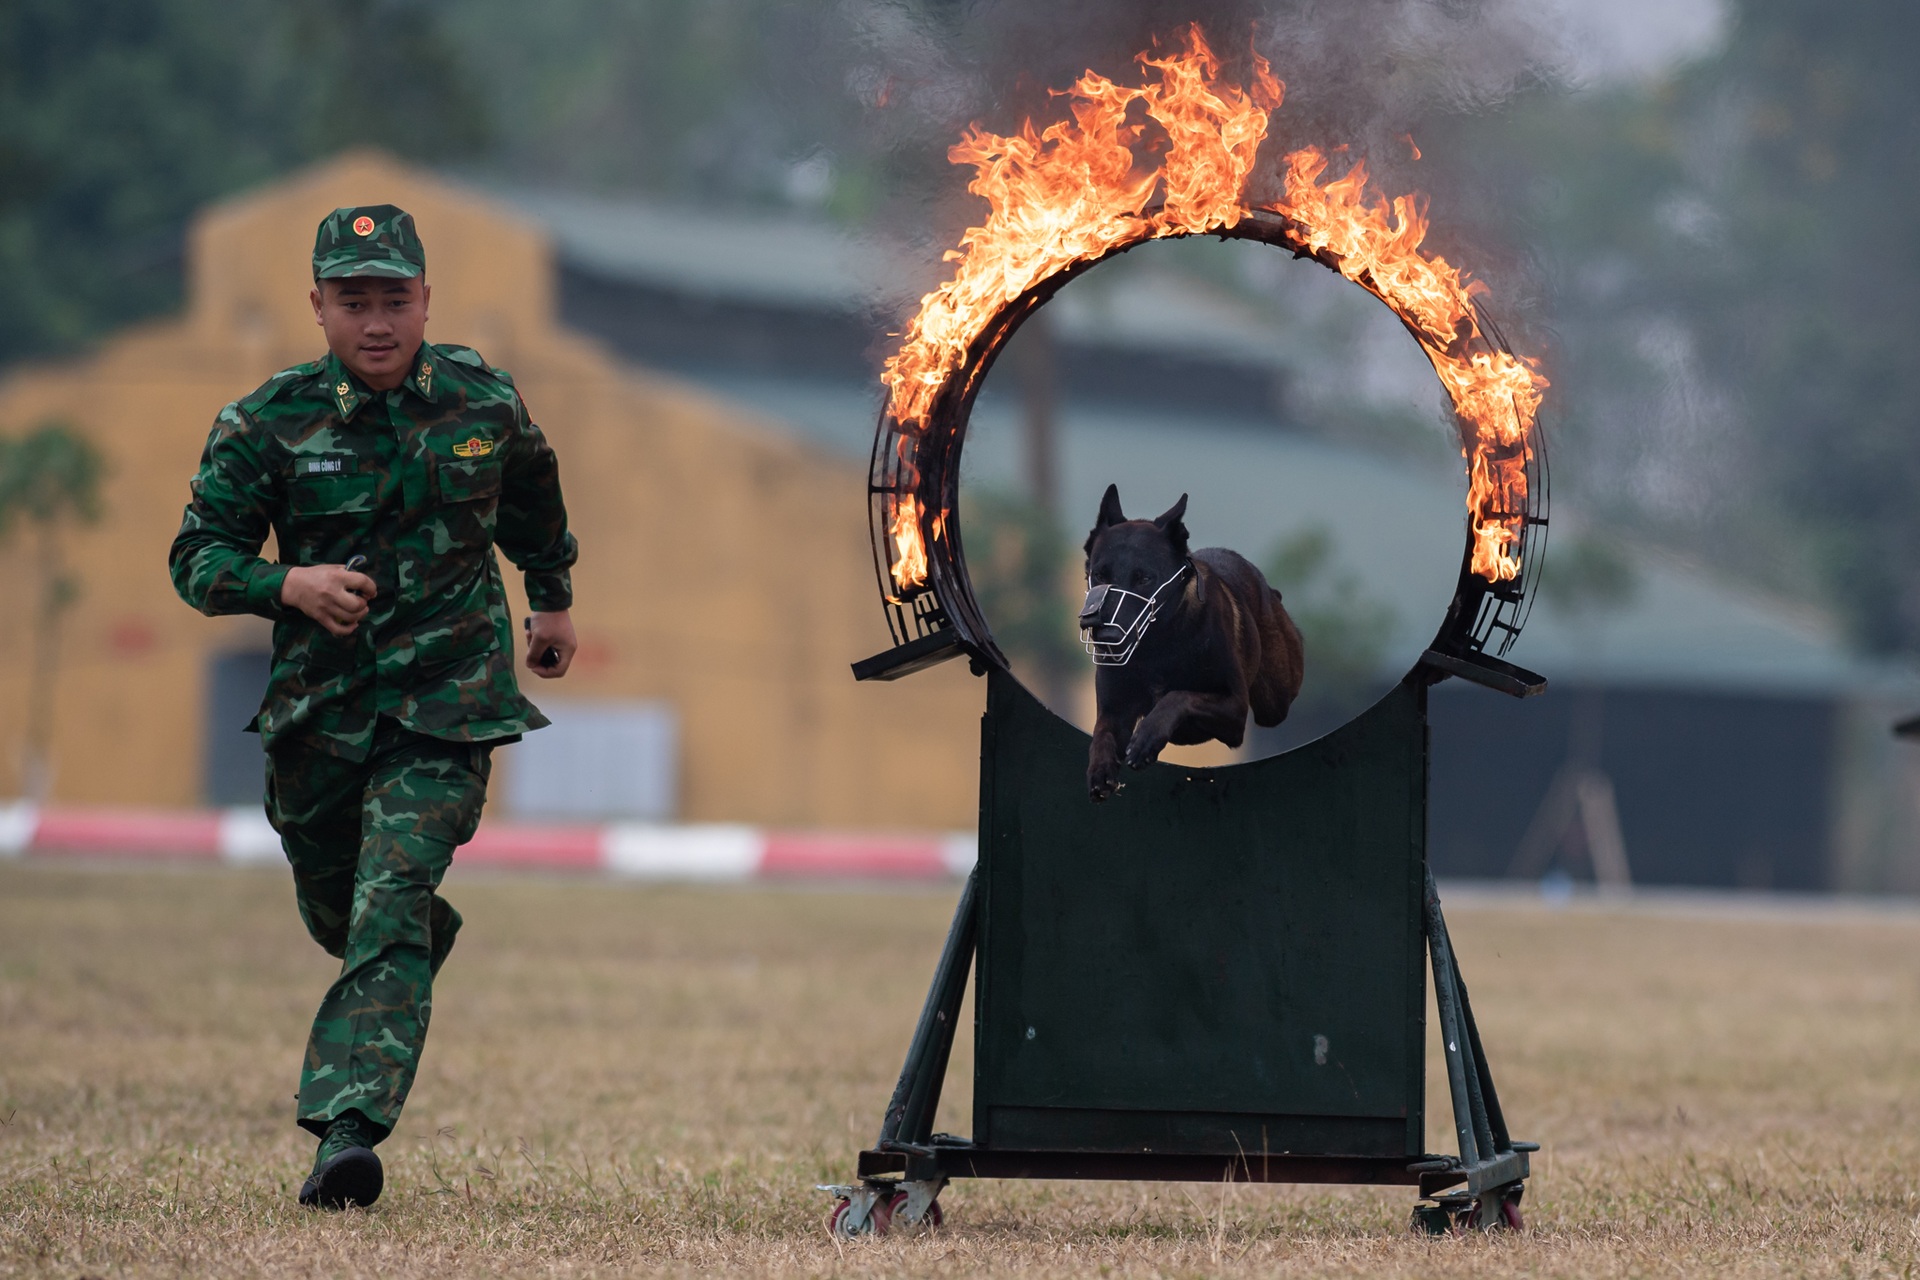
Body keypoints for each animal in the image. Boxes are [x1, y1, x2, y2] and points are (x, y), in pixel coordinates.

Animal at [1082, 487, 1305, 802]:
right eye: (1100, 575)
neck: (1156, 646)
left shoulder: (1235, 709)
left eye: (1145, 578)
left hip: (1274, 699)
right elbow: (1102, 735)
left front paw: (1146, 738)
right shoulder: (1115, 712)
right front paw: (1100, 768)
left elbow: (1178, 697)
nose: (1109, 638)